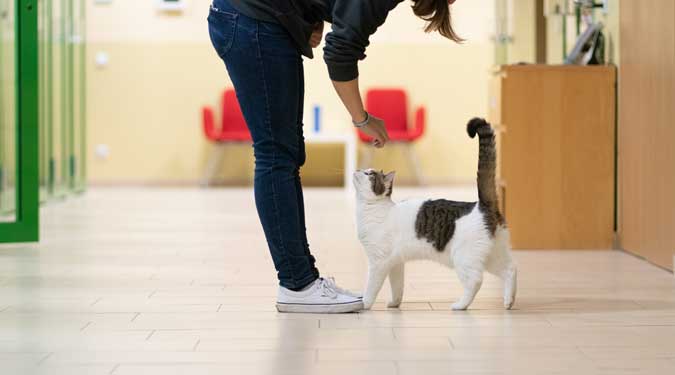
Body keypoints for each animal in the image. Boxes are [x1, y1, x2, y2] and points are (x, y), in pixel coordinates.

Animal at [354, 117, 516, 312]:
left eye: (369, 174)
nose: (358, 169)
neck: (372, 209)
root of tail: (483, 206)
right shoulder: (395, 263)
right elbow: (398, 286)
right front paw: (394, 303)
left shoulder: (378, 262)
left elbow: (371, 287)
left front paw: (364, 304)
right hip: (492, 255)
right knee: (511, 270)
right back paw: (509, 301)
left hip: (464, 257)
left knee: (475, 281)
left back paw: (460, 305)